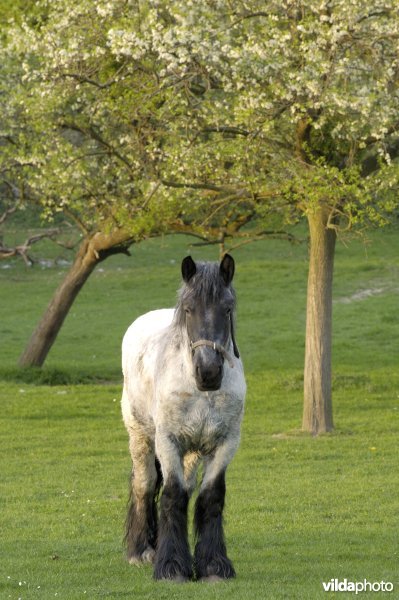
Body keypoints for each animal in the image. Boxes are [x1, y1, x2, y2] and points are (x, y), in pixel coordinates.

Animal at [121, 253, 247, 580]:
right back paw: (142, 550)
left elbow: (210, 497)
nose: (209, 371)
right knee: (145, 483)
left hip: (191, 452)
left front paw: (213, 565)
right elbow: (172, 495)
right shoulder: (167, 442)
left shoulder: (226, 444)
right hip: (141, 437)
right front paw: (171, 567)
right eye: (189, 309)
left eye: (227, 308)